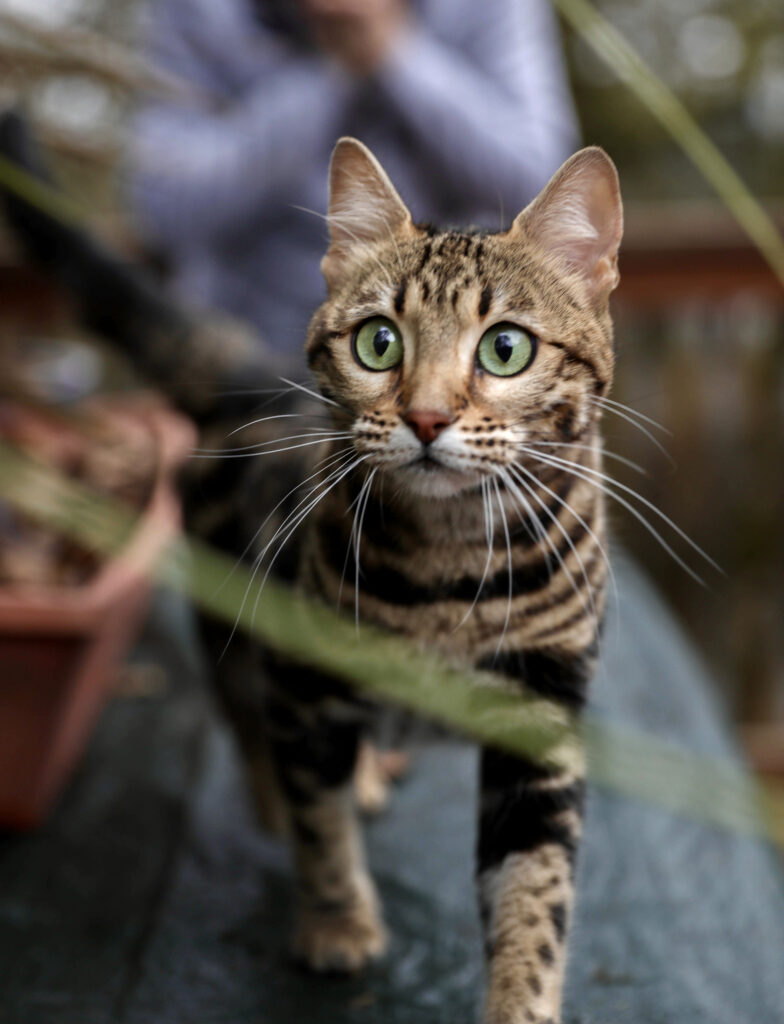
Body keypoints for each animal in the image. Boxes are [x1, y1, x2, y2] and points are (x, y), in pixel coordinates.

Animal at [1, 112, 626, 1024]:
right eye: (379, 342)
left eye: (505, 348)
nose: (426, 417)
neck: (451, 570)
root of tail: (245, 381)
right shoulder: (303, 684)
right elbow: (319, 824)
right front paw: (337, 925)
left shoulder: (541, 717)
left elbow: (535, 895)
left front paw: (522, 1003)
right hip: (233, 621)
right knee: (247, 724)